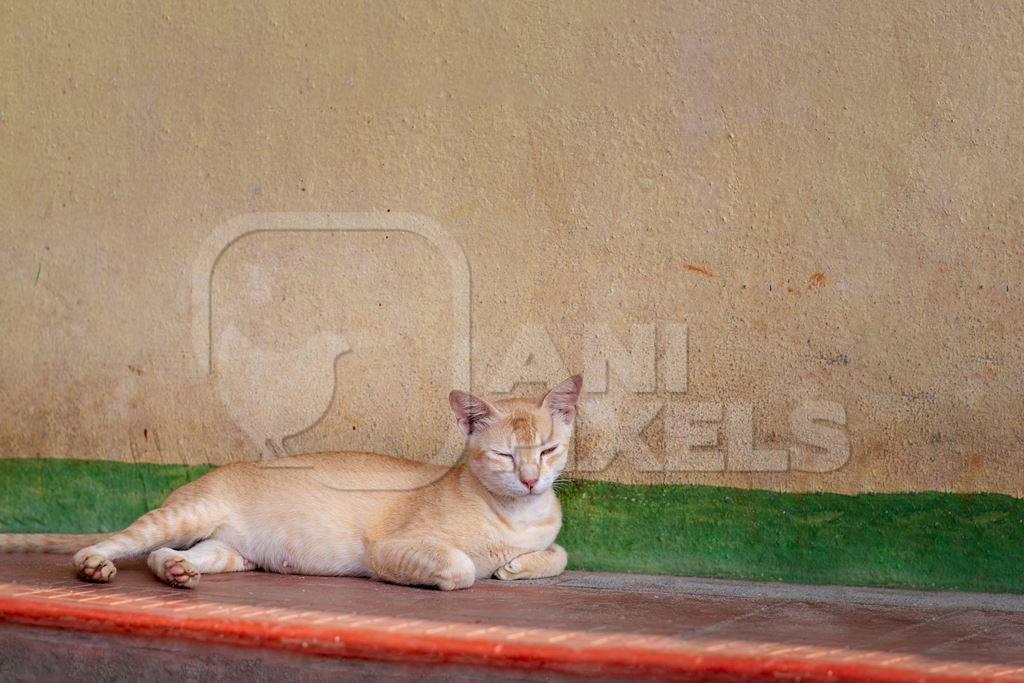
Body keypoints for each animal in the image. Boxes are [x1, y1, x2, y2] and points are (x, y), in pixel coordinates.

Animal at [0, 376, 581, 589]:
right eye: (504, 456)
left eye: (548, 450)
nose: (531, 480)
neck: (518, 515)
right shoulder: (393, 548)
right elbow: (460, 569)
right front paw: (483, 569)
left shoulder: (548, 536)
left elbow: (559, 554)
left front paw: (514, 566)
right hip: (187, 514)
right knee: (116, 543)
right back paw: (95, 565)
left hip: (231, 553)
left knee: (168, 554)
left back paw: (179, 572)